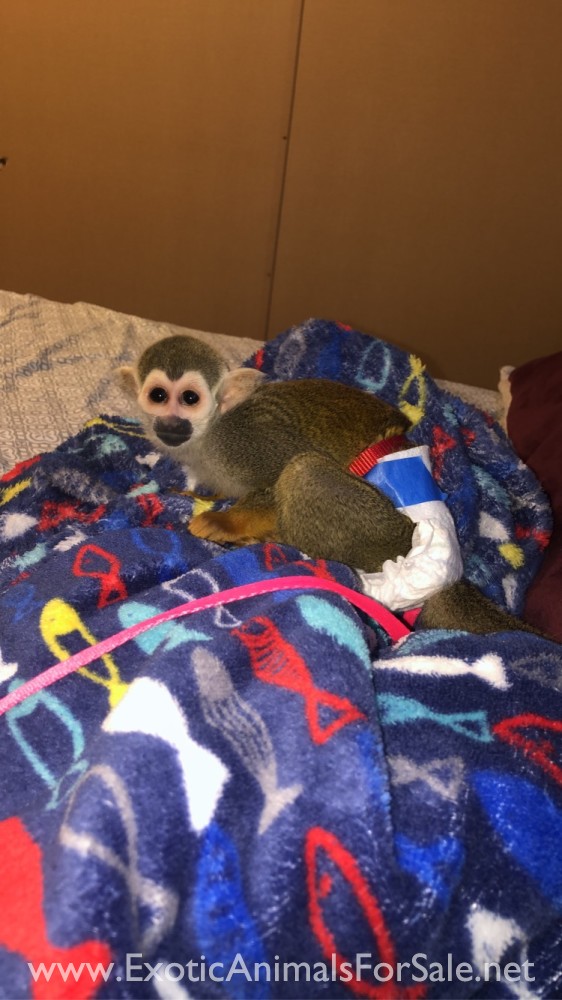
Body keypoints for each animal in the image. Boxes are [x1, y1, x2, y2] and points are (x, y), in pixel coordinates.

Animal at [118, 334, 546, 638]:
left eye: (190, 398)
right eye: (159, 396)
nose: (171, 422)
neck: (208, 435)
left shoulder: (245, 441)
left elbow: (277, 478)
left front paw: (226, 522)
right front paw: (199, 497)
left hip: (385, 533)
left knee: (303, 471)